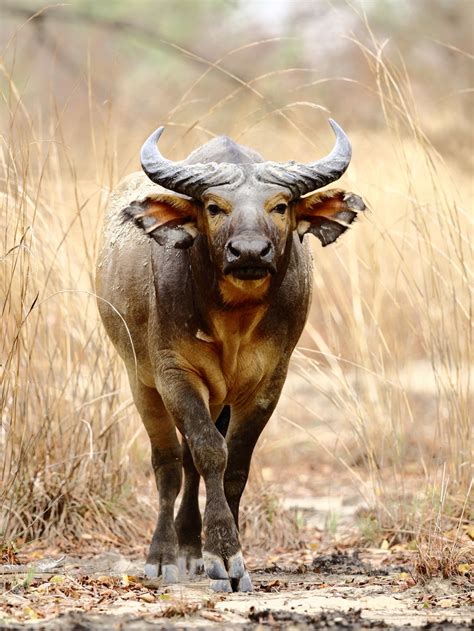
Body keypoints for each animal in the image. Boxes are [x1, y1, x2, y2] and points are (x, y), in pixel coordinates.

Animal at [95, 118, 362, 592]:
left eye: (279, 206)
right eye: (214, 206)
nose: (250, 251)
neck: (235, 320)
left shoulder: (269, 382)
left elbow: (234, 465)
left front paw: (225, 555)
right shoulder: (174, 374)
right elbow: (208, 454)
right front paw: (220, 552)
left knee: (188, 463)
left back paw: (189, 548)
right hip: (140, 380)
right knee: (168, 463)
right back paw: (165, 555)